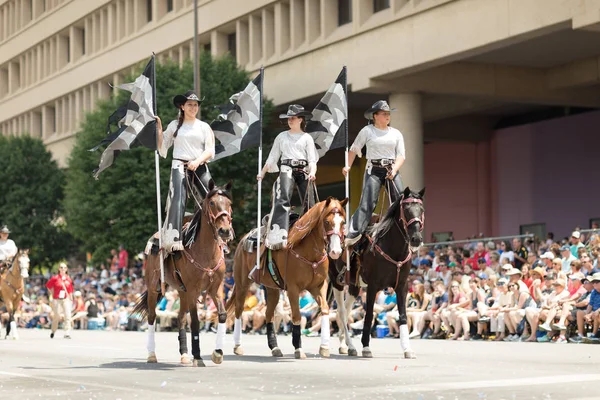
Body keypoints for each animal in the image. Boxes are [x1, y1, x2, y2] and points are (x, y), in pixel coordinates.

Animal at [134, 180, 234, 368]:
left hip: (182, 291)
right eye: (212, 203)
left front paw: (217, 353)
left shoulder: (216, 288)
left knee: (180, 317)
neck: (206, 252)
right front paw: (198, 356)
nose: (225, 231)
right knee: (152, 316)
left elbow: (222, 315)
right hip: (154, 287)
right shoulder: (194, 290)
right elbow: (194, 321)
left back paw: (185, 354)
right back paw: (152, 354)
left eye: (229, 203)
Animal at [330, 188, 424, 360]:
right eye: (406, 210)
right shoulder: (373, 286)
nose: (416, 239)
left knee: (345, 311)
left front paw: (407, 349)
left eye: (421, 210)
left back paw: (345, 345)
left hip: (353, 286)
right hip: (336, 281)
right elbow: (368, 315)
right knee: (341, 311)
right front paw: (366, 347)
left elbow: (402, 316)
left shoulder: (402, 286)